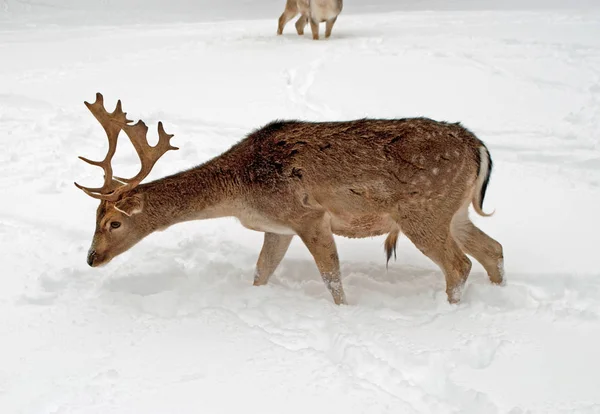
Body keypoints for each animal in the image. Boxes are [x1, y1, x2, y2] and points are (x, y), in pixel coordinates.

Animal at [77, 94, 504, 308]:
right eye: (92, 218)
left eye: (113, 222)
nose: (91, 258)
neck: (241, 191)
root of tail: (478, 147)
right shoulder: (278, 228)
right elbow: (261, 271)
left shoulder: (307, 215)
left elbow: (332, 278)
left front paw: (344, 313)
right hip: (454, 212)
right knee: (493, 249)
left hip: (423, 211)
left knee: (460, 264)